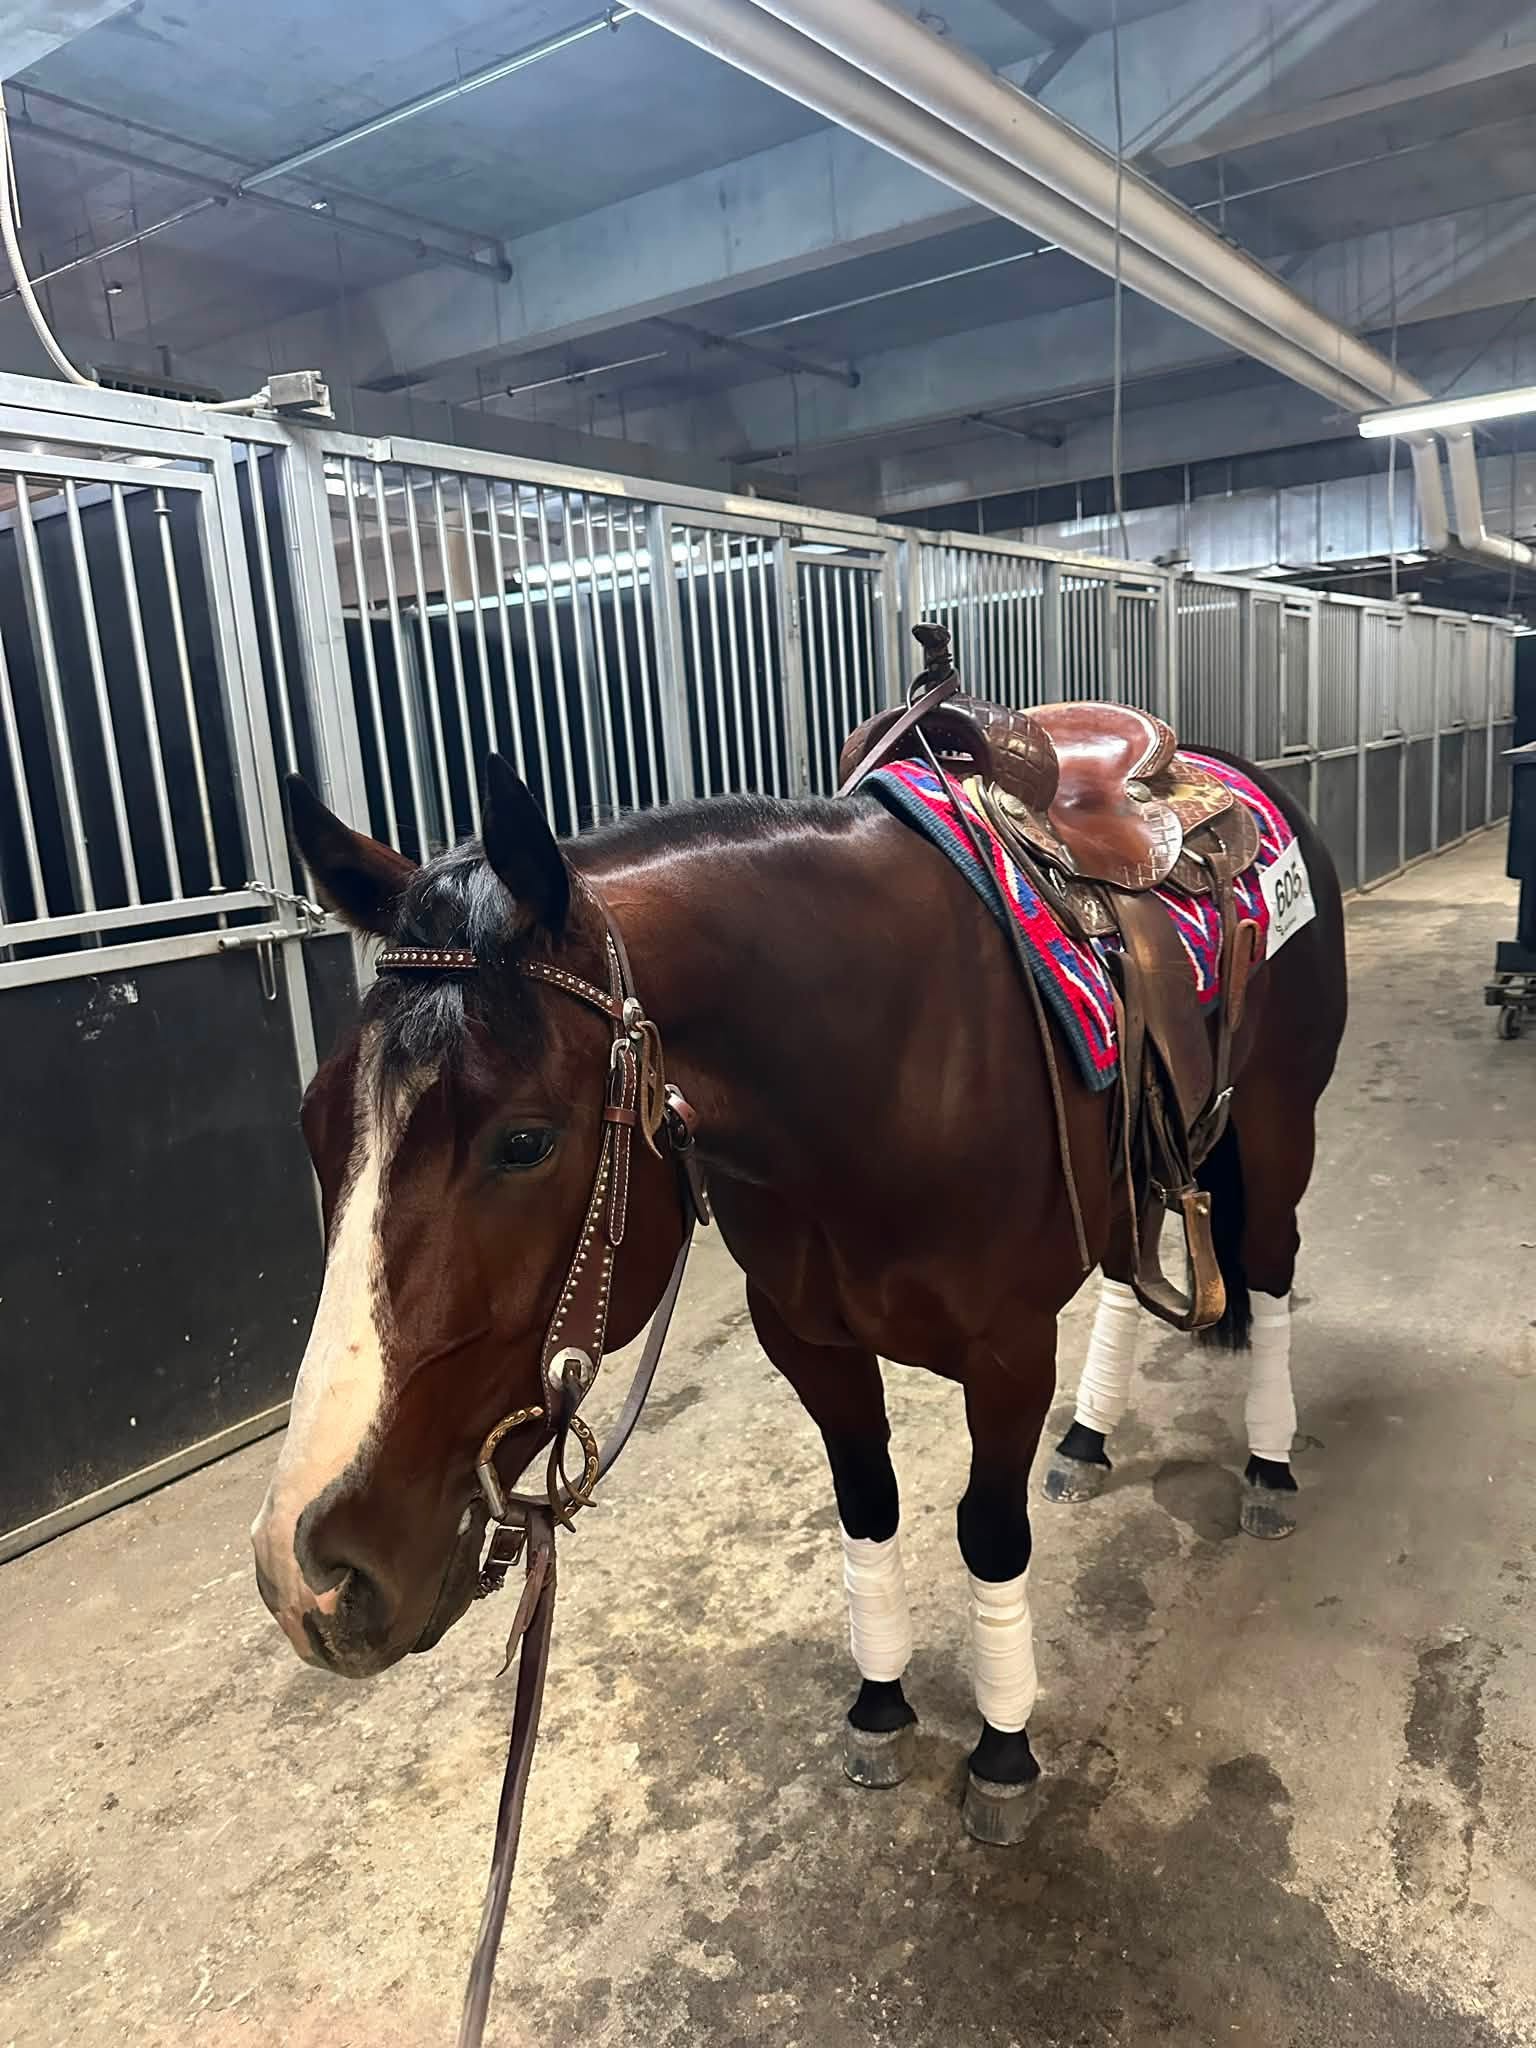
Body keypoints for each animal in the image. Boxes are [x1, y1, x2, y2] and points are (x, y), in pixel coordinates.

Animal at [251, 737, 1346, 1842]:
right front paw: (882, 1702)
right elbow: (868, 1508)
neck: (885, 1062)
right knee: (1132, 1279)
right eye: (310, 1121)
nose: (307, 1574)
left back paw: (1269, 1465)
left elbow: (990, 1536)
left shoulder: (1008, 1351)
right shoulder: (809, 1341)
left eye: (523, 1142)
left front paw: (1002, 1749)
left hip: (1278, 1124)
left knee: (1272, 1269)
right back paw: (1088, 1438)